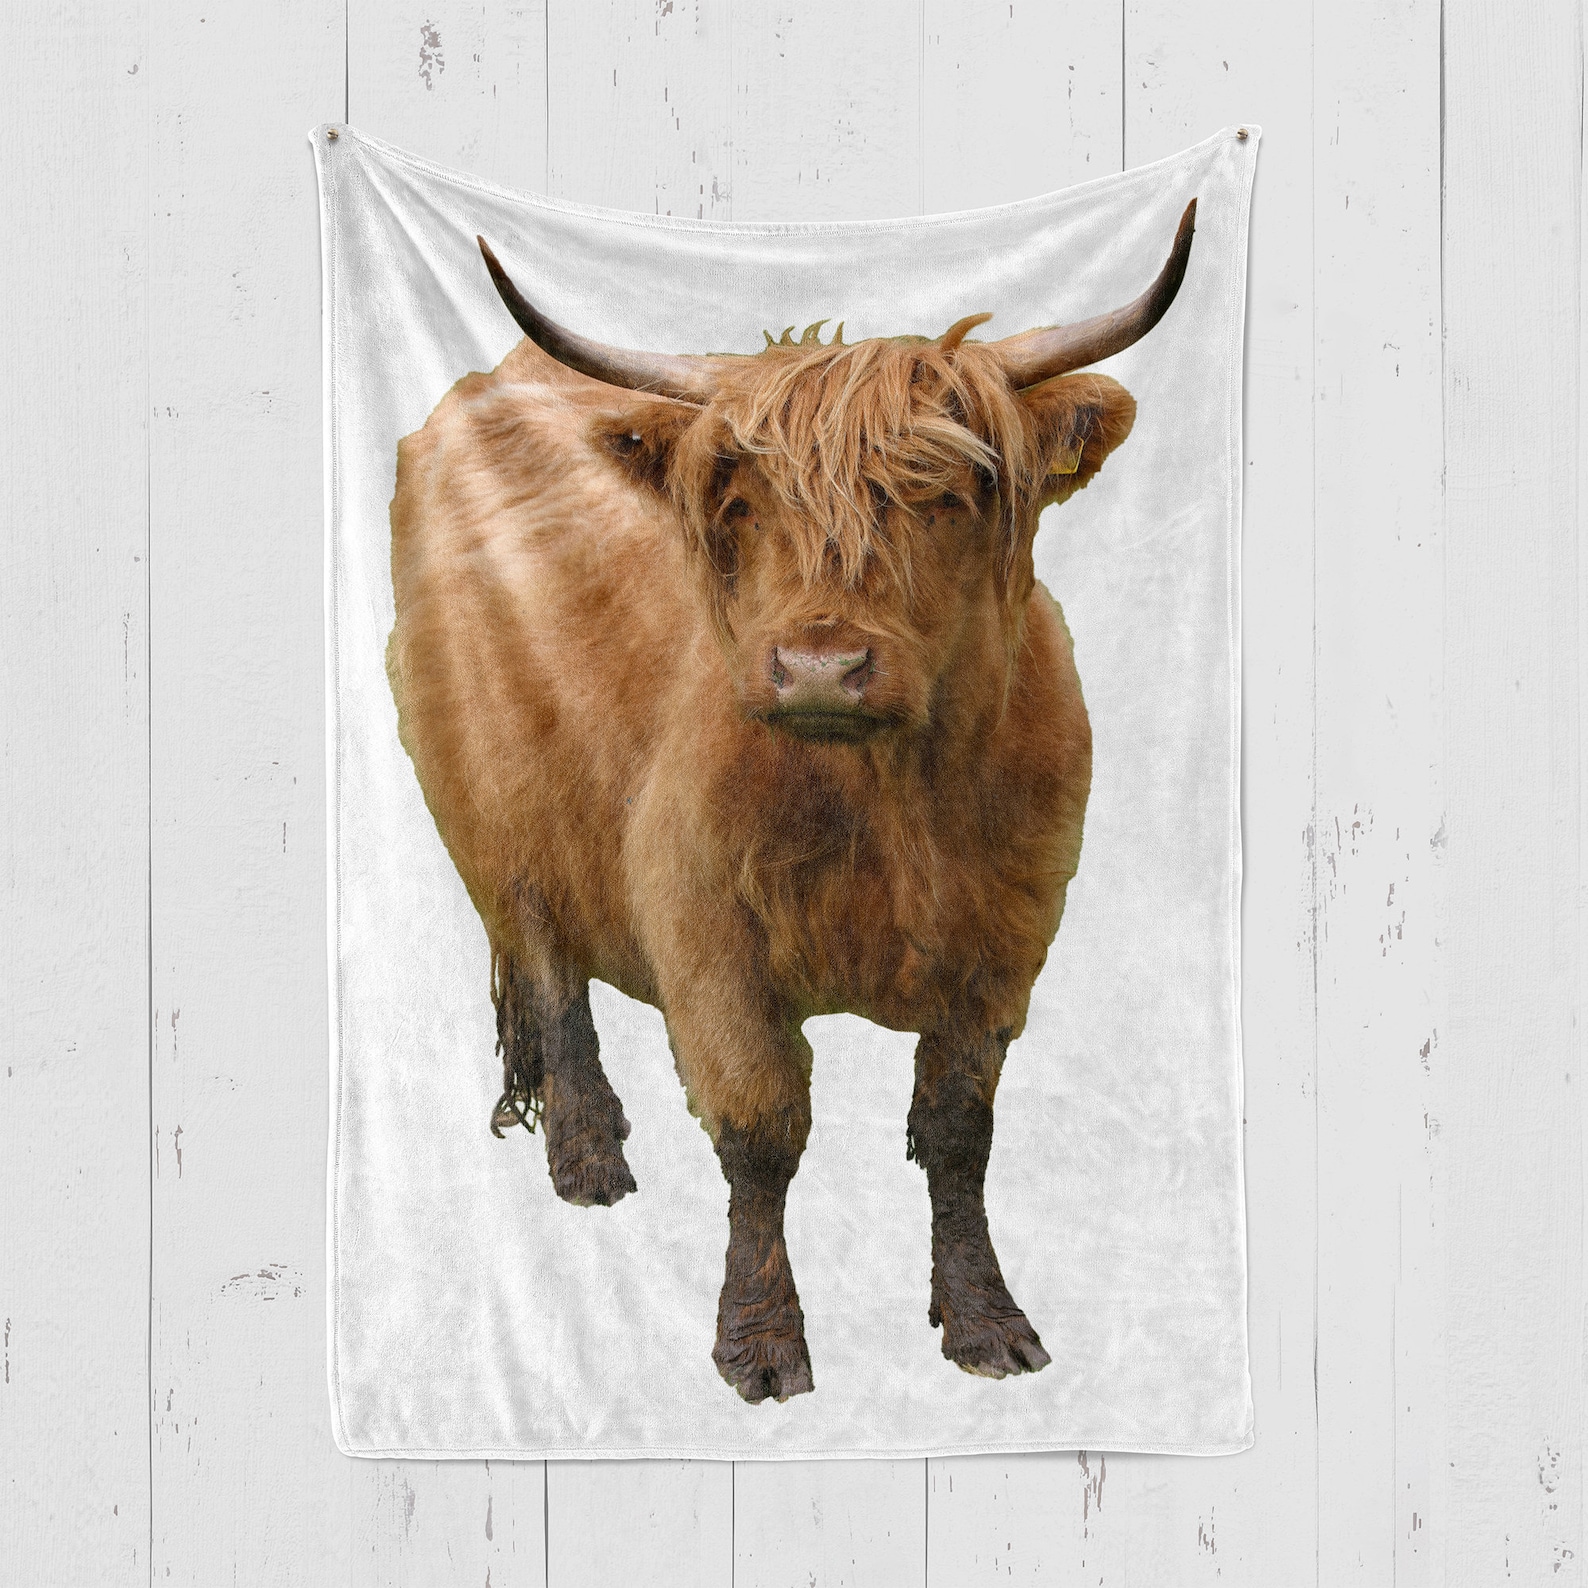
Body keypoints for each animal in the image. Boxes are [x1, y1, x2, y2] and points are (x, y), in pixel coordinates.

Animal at [385, 200, 1196, 1403]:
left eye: (947, 494)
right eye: (741, 503)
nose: (818, 668)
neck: (891, 808)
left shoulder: (1006, 941)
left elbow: (956, 1131)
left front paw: (985, 1321)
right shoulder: (705, 931)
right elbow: (762, 1126)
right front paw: (760, 1344)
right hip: (489, 802)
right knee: (547, 961)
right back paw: (589, 1155)